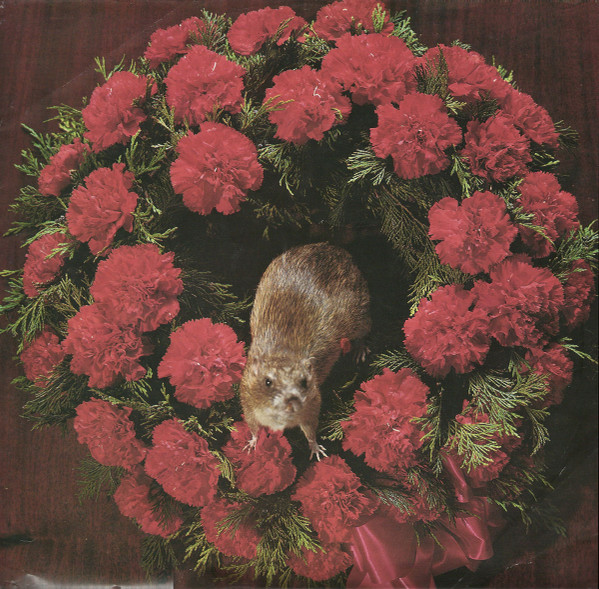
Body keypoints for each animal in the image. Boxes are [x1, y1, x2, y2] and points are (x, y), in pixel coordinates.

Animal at [239, 242, 371, 459]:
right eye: (267, 382)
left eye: (304, 382)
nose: (292, 401)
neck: (283, 354)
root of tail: (335, 249)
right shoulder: (248, 402)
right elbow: (253, 426)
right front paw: (252, 442)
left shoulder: (312, 406)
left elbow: (310, 430)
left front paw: (316, 448)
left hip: (359, 313)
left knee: (363, 332)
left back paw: (360, 350)